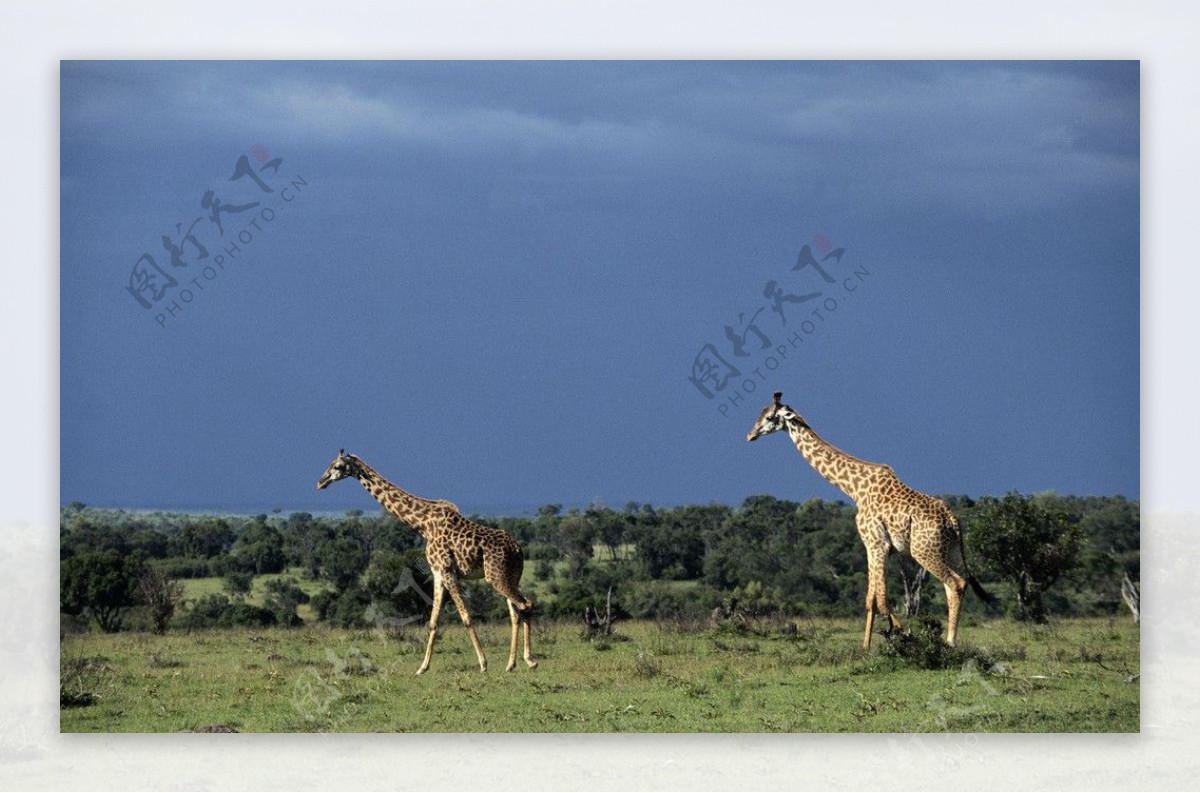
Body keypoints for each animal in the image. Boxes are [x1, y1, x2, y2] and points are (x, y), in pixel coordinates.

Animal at [316, 451, 537, 676]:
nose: (320, 482)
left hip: (495, 576)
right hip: (510, 576)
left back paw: (529, 660)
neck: (422, 524)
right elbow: (433, 622)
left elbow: (465, 616)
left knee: (525, 604)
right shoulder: (437, 572)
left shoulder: (447, 569)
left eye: (338, 466)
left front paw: (483, 664)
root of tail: (518, 549)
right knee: (516, 612)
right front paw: (422, 667)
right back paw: (511, 664)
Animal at [744, 393, 988, 647]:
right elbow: (871, 600)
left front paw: (902, 636)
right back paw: (950, 640)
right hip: (949, 551)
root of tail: (953, 520)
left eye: (769, 417)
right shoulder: (876, 547)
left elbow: (881, 600)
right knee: (955, 584)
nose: (750, 435)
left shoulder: (876, 543)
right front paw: (866, 646)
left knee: (956, 583)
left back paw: (949, 642)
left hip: (923, 551)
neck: (854, 489)